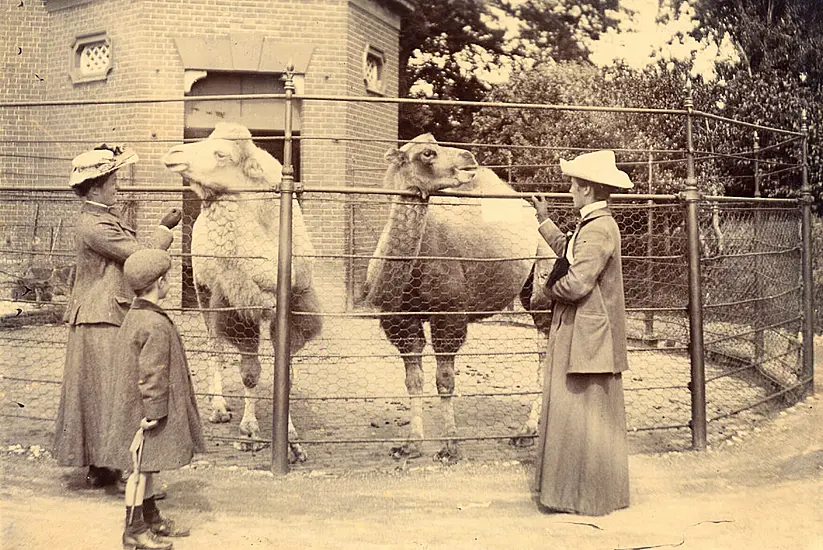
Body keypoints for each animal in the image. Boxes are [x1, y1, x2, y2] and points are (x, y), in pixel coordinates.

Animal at [163, 124, 324, 462]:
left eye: (221, 153)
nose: (173, 153)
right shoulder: (238, 306)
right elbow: (249, 372)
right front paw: (249, 432)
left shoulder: (293, 302)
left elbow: (285, 372)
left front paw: (292, 440)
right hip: (202, 291)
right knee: (215, 346)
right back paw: (219, 407)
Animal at [366, 136, 552, 464]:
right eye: (428, 152)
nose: (468, 157)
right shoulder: (400, 321)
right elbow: (413, 381)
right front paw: (411, 444)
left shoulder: (448, 315)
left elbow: (444, 381)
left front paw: (450, 446)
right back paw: (526, 432)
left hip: (542, 273)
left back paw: (526, 431)